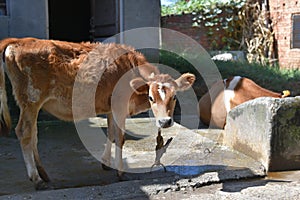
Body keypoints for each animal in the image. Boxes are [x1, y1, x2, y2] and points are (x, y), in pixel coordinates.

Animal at [0, 37, 196, 189]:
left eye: (174, 97)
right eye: (151, 97)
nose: (165, 122)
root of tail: (17, 41)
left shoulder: (110, 108)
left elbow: (110, 133)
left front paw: (106, 162)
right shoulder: (119, 106)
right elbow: (120, 137)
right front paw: (120, 172)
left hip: (31, 105)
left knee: (33, 134)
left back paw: (43, 173)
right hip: (31, 100)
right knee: (24, 132)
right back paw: (36, 179)